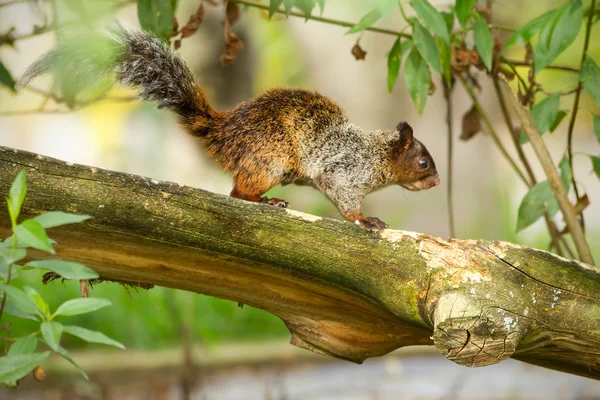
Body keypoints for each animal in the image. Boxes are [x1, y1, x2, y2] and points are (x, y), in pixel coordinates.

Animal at [19, 24, 440, 231]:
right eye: (422, 162)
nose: (436, 183)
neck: (376, 154)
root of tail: (223, 133)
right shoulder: (345, 171)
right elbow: (346, 202)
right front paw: (365, 220)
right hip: (270, 159)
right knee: (238, 192)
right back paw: (266, 201)